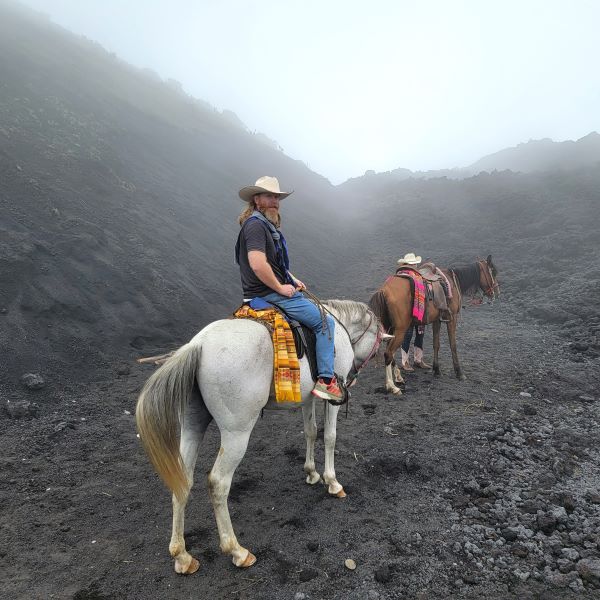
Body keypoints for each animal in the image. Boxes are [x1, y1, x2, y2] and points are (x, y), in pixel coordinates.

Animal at [135, 298, 384, 576]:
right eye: (378, 342)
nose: (353, 379)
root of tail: (198, 345)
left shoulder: (308, 398)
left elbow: (310, 431)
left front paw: (311, 472)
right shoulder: (330, 402)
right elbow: (329, 436)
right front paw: (332, 482)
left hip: (192, 426)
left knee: (183, 480)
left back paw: (182, 556)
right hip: (236, 434)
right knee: (218, 483)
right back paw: (237, 551)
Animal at [368, 255, 500, 396]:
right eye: (493, 272)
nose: (497, 293)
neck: (452, 281)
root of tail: (384, 290)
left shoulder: (437, 320)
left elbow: (436, 344)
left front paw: (436, 370)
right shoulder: (452, 319)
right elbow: (453, 345)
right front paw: (459, 373)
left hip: (391, 329)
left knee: (390, 353)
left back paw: (399, 377)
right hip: (400, 330)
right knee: (388, 353)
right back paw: (392, 386)